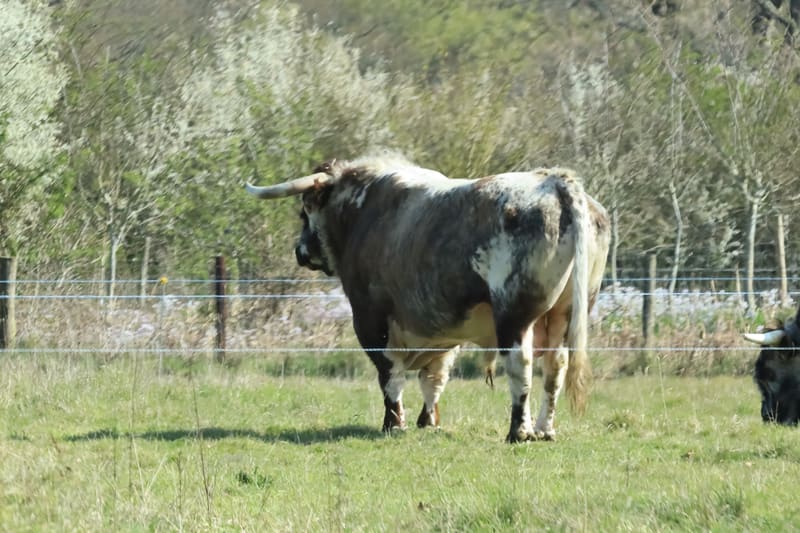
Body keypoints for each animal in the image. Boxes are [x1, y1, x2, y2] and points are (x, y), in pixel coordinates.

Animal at [246, 154, 610, 442]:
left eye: (304, 211)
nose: (300, 251)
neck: (364, 213)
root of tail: (553, 180)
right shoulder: (441, 331)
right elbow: (434, 377)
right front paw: (429, 421)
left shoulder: (371, 320)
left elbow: (390, 374)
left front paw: (394, 423)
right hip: (565, 313)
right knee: (556, 366)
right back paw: (545, 429)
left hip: (515, 317)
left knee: (520, 366)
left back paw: (519, 431)